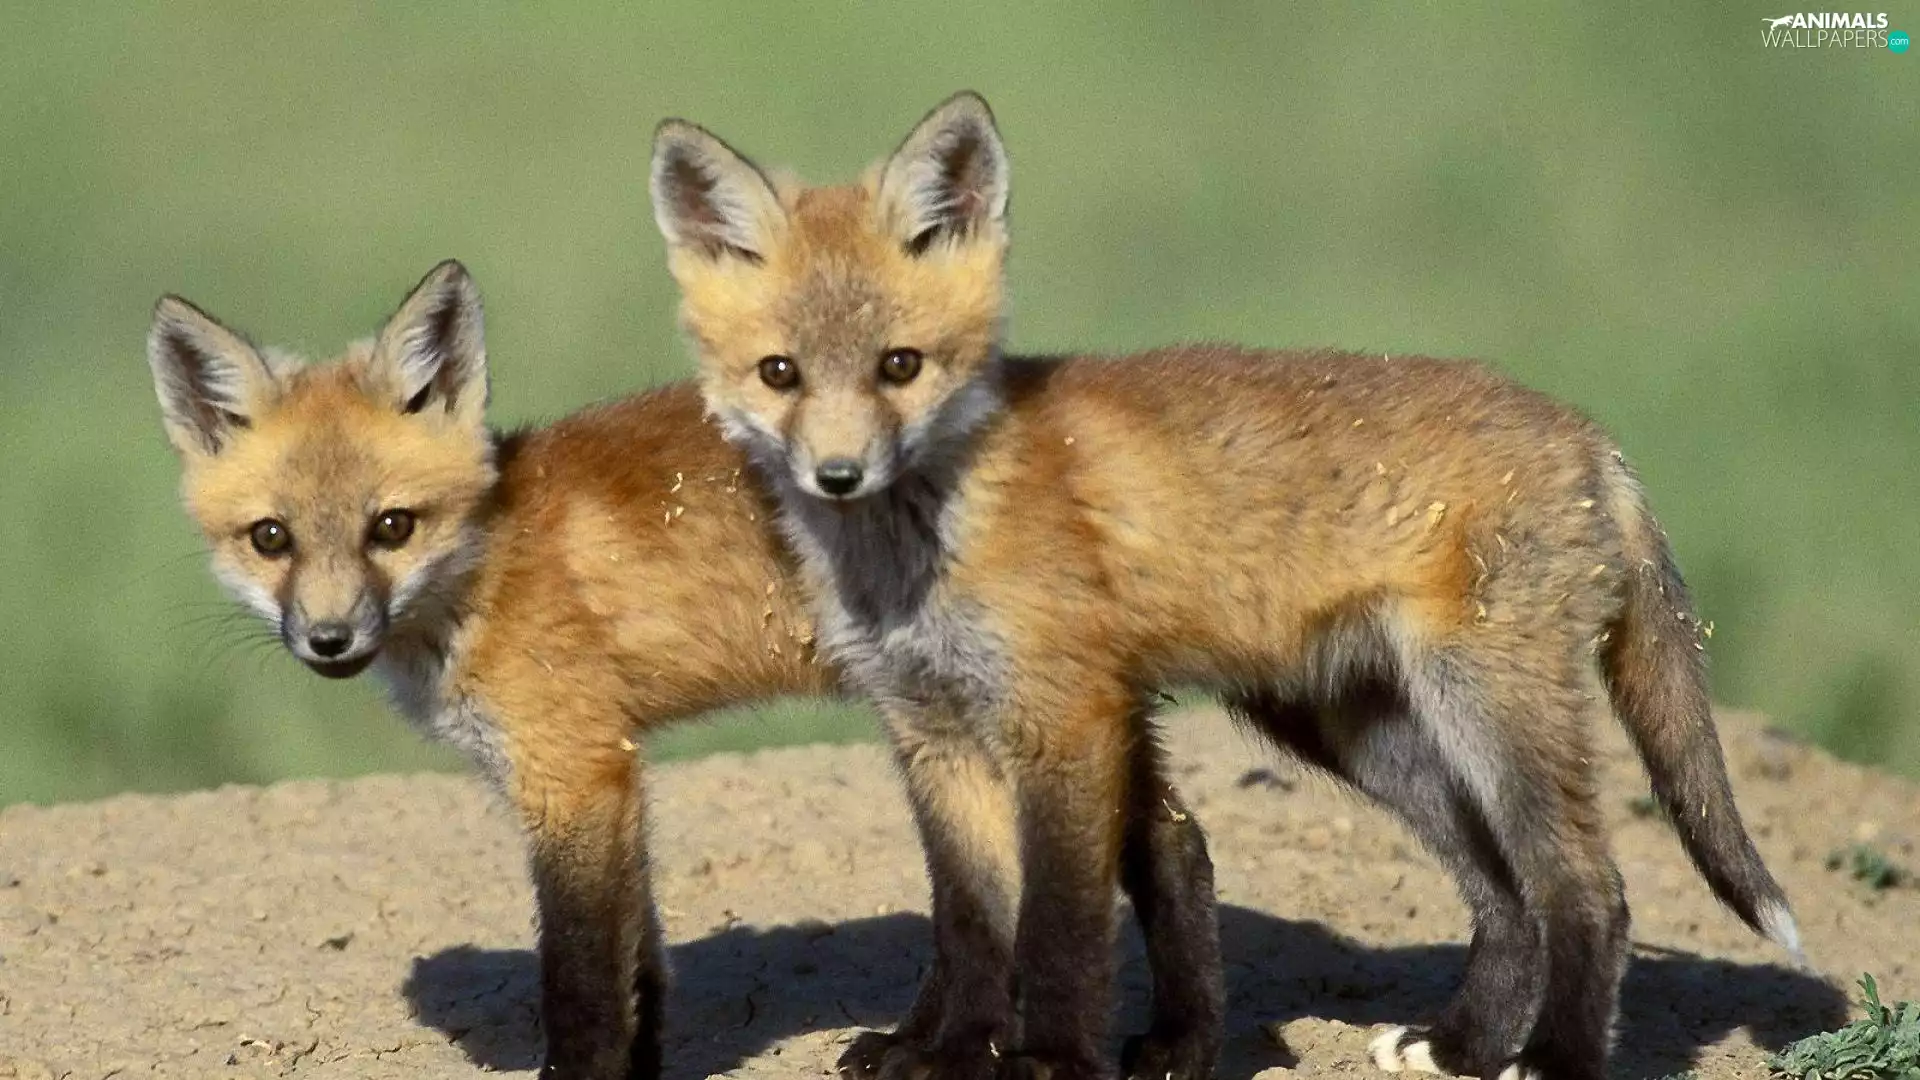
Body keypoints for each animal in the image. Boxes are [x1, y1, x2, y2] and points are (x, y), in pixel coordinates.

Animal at [146, 260, 1232, 1080]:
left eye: (391, 528)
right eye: (272, 538)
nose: (328, 640)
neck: (488, 568)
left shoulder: (574, 775)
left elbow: (582, 979)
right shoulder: (615, 773)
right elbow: (643, 969)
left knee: (1151, 853)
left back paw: (1158, 1045)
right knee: (1175, 843)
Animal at [648, 93, 1805, 1080]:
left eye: (901, 365)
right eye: (781, 374)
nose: (838, 475)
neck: (924, 541)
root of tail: (1590, 433)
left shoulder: (1067, 718)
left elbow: (1058, 925)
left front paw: (1049, 1058)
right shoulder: (930, 733)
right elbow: (969, 923)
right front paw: (944, 1051)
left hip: (1485, 710)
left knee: (1587, 890)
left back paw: (1551, 1060)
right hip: (1357, 731)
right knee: (1506, 896)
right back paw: (1462, 1046)